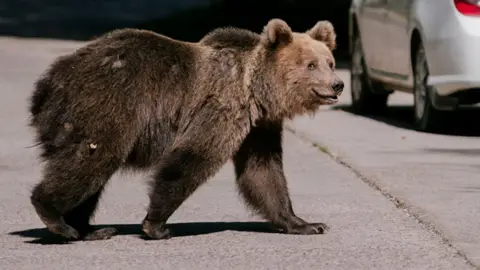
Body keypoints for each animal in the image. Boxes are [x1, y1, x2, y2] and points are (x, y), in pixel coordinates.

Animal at [28, 17, 344, 242]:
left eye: (330, 62)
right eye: (311, 65)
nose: (338, 84)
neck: (255, 91)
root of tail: (49, 81)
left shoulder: (258, 128)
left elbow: (263, 172)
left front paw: (306, 223)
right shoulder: (221, 107)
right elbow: (193, 157)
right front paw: (156, 226)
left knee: (93, 171)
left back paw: (89, 229)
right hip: (108, 103)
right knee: (92, 159)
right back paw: (57, 219)